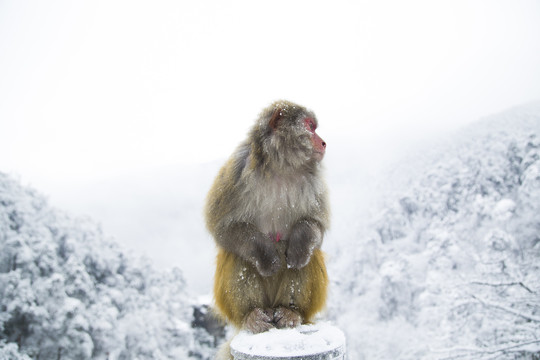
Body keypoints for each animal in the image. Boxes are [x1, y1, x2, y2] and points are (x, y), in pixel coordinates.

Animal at [205, 98, 330, 346]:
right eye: (310, 126)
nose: (323, 142)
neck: (282, 167)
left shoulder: (315, 184)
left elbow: (316, 225)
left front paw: (301, 244)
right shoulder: (238, 168)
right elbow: (221, 226)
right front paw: (266, 256)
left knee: (306, 255)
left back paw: (291, 311)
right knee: (237, 254)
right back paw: (252, 315)